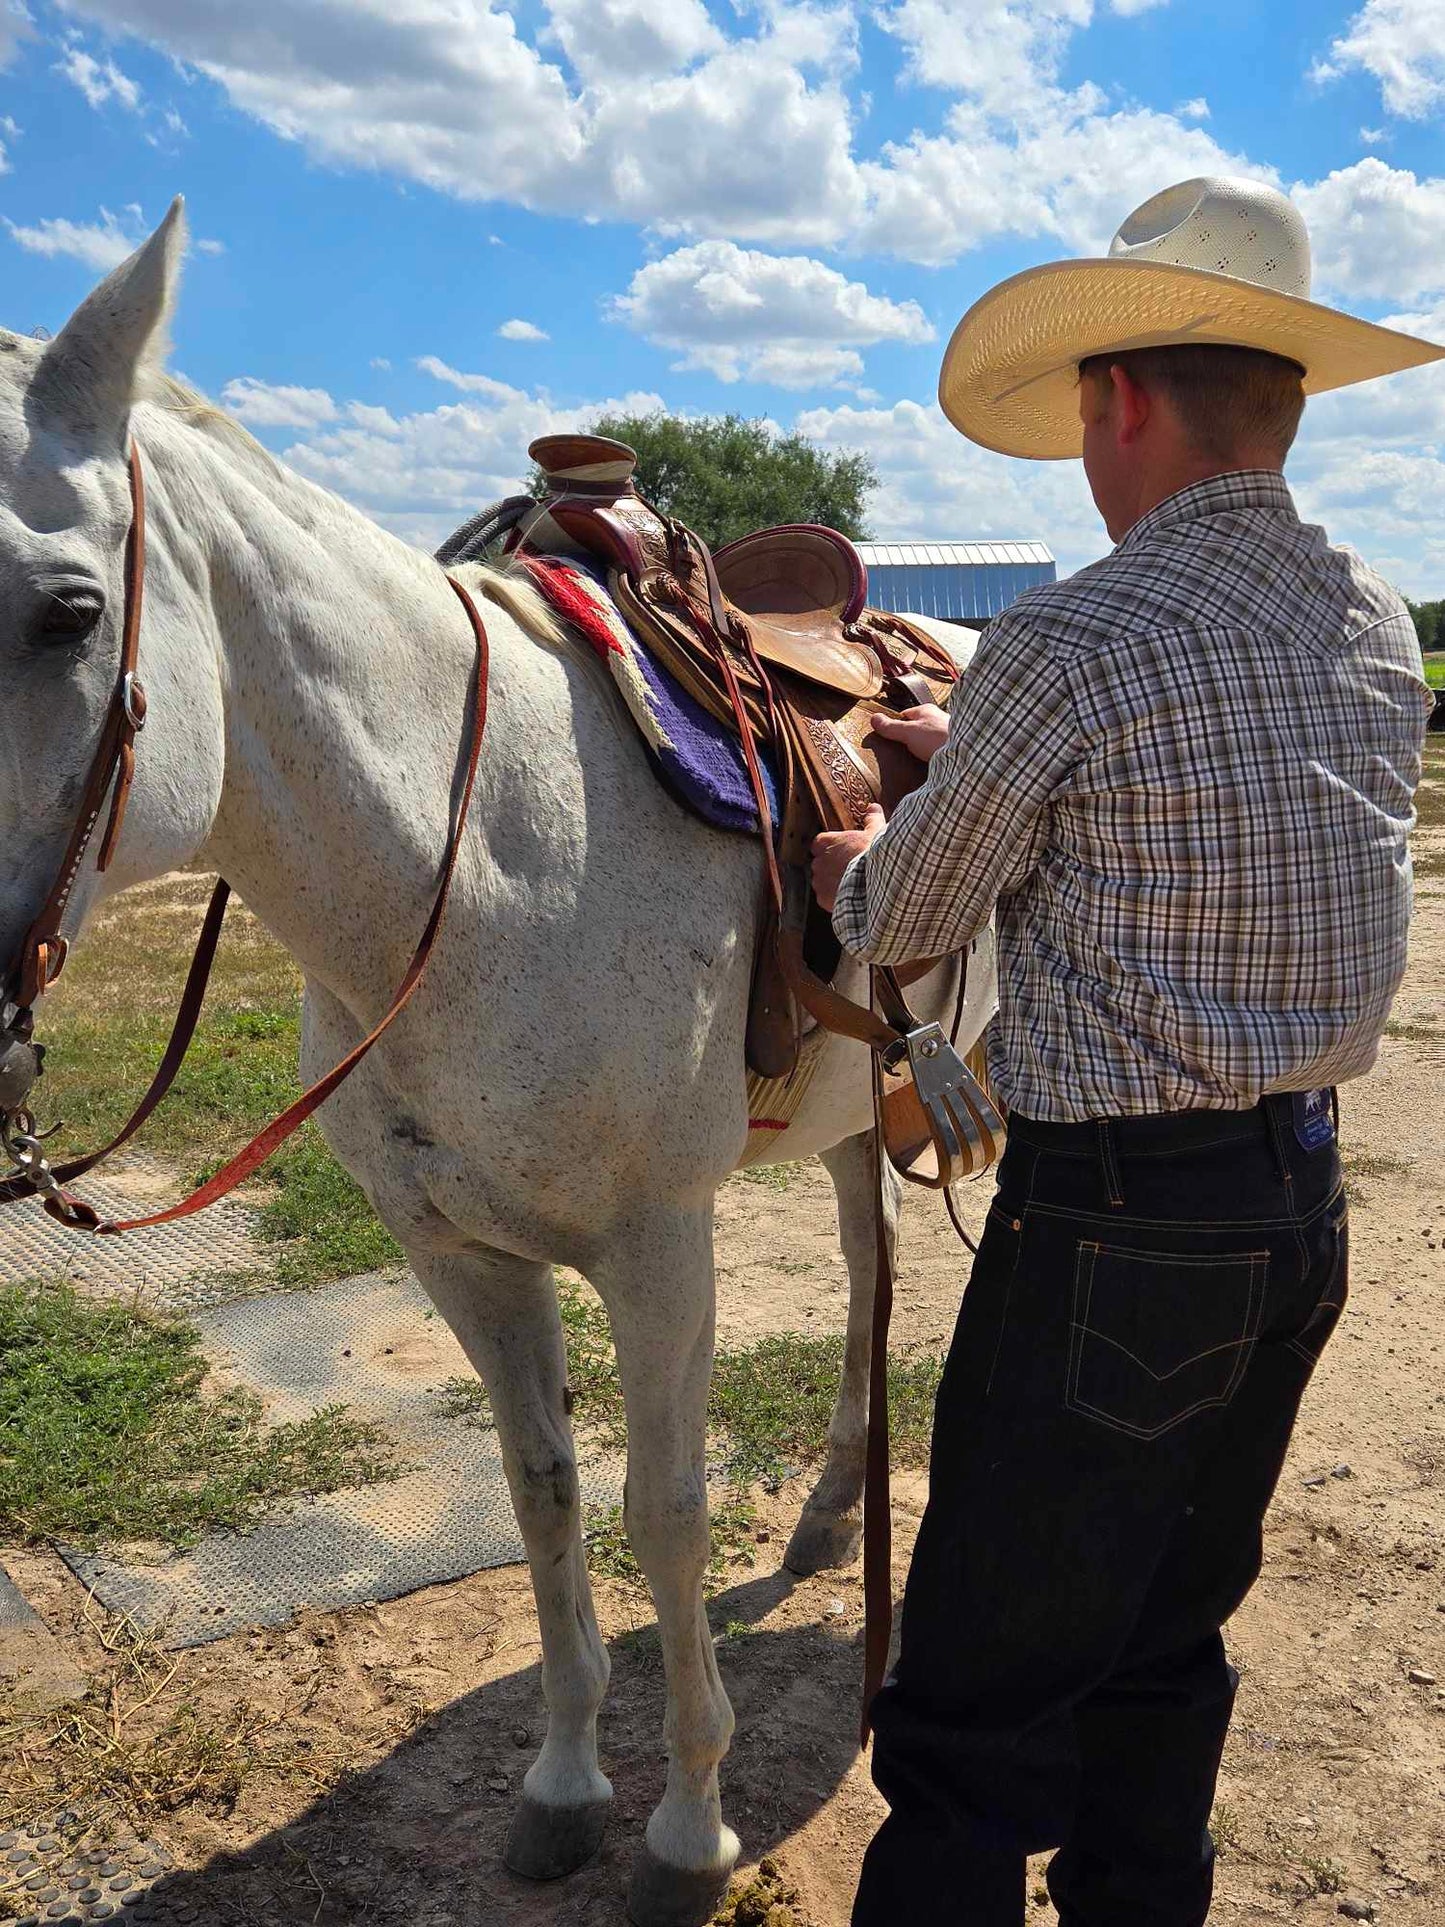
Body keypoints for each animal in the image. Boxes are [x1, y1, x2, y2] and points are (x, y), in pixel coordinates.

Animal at [0, 211, 994, 1927]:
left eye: (68, 612)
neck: (473, 863)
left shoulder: (660, 1247)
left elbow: (663, 1506)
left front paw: (686, 1823)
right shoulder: (454, 1249)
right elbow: (542, 1487)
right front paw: (565, 1781)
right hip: (854, 1108)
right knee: (871, 1264)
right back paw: (826, 1517)